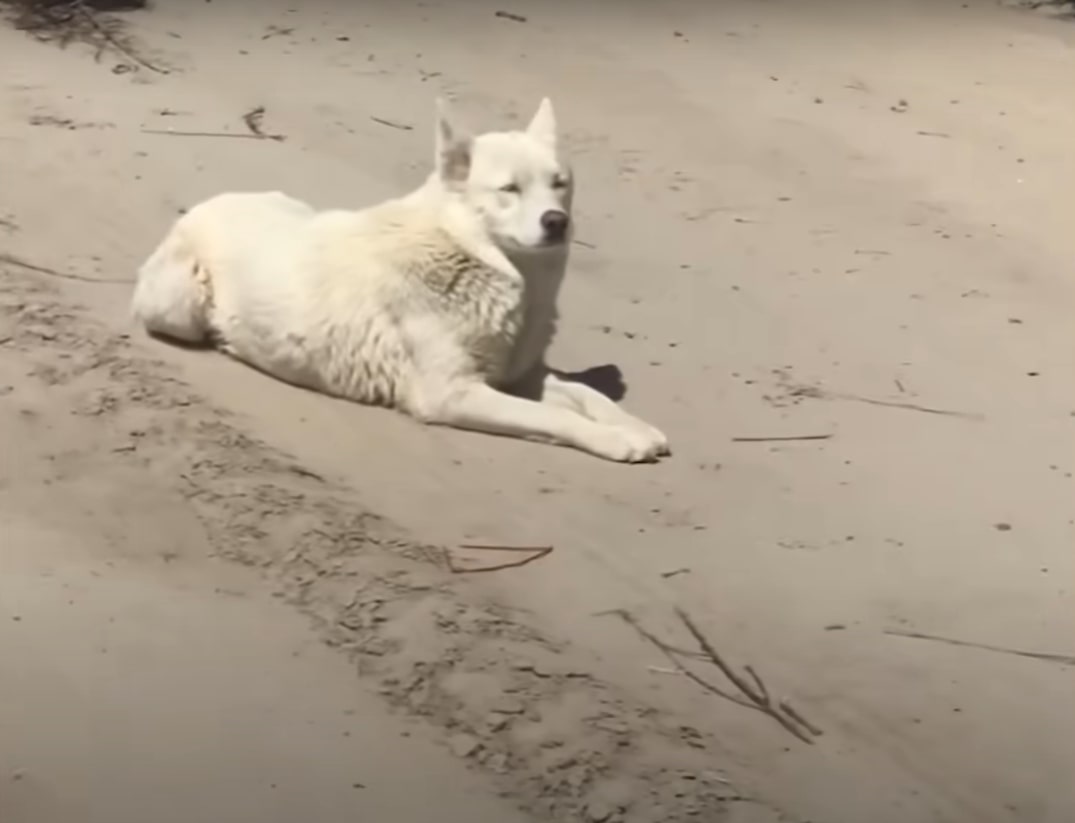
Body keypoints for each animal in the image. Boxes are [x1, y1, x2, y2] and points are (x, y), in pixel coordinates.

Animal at [130, 96, 666, 464]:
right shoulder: (452, 394)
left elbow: (586, 394)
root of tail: (206, 202)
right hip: (178, 309)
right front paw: (613, 439)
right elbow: (553, 416)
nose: (557, 222)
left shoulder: (520, 374)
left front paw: (633, 426)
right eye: (509, 189)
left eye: (560, 184)